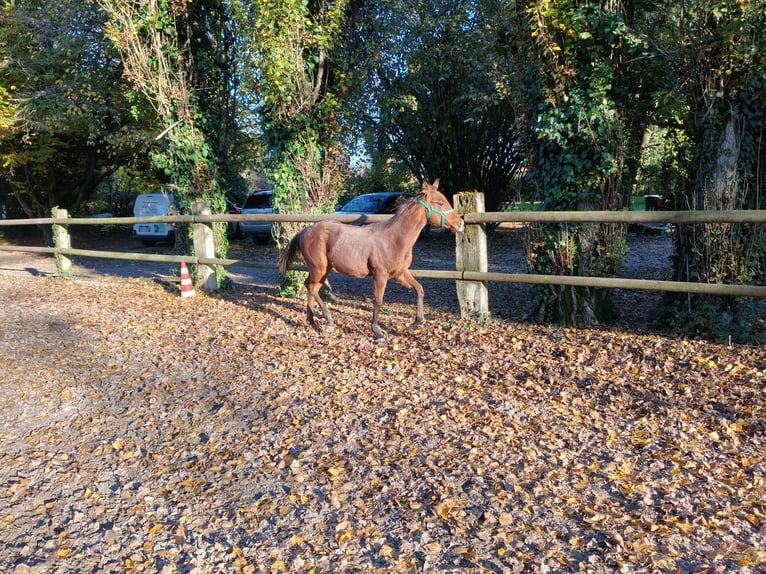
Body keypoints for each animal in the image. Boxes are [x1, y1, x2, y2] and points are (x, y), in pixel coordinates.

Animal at [278, 179, 465, 340]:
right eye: (440, 203)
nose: (461, 224)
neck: (394, 239)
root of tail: (305, 231)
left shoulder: (399, 274)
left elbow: (419, 289)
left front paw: (414, 325)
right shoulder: (380, 275)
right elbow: (378, 300)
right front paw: (377, 332)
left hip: (323, 270)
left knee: (311, 287)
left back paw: (312, 321)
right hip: (319, 269)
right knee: (311, 287)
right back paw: (329, 321)